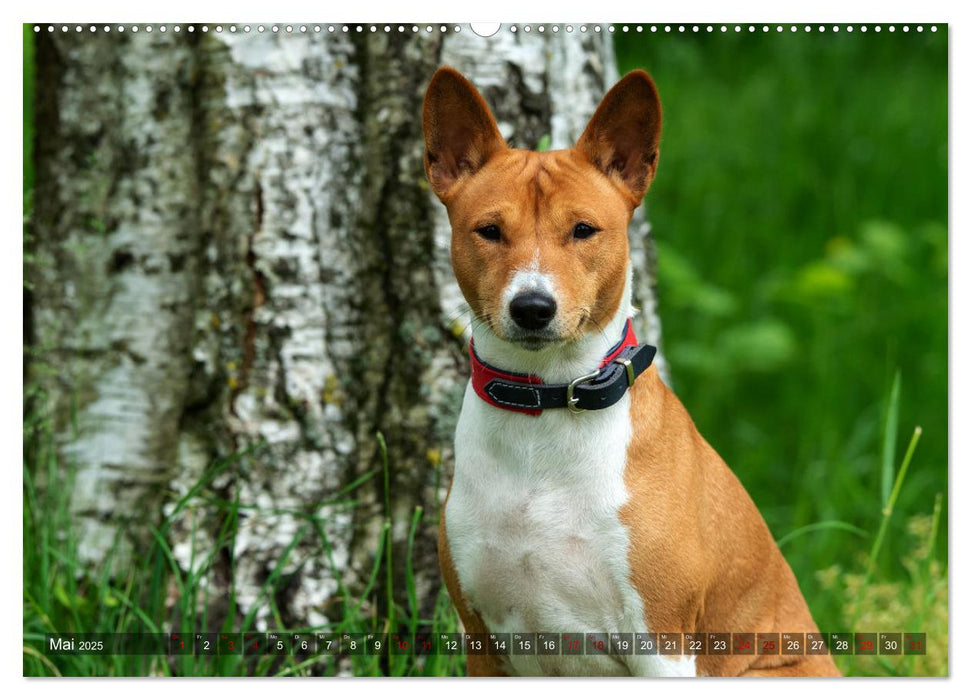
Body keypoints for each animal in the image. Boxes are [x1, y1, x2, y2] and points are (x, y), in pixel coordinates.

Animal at [426, 67, 844, 680]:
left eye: (583, 230)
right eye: (488, 231)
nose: (532, 307)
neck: (546, 406)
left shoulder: (661, 642)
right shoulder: (482, 643)